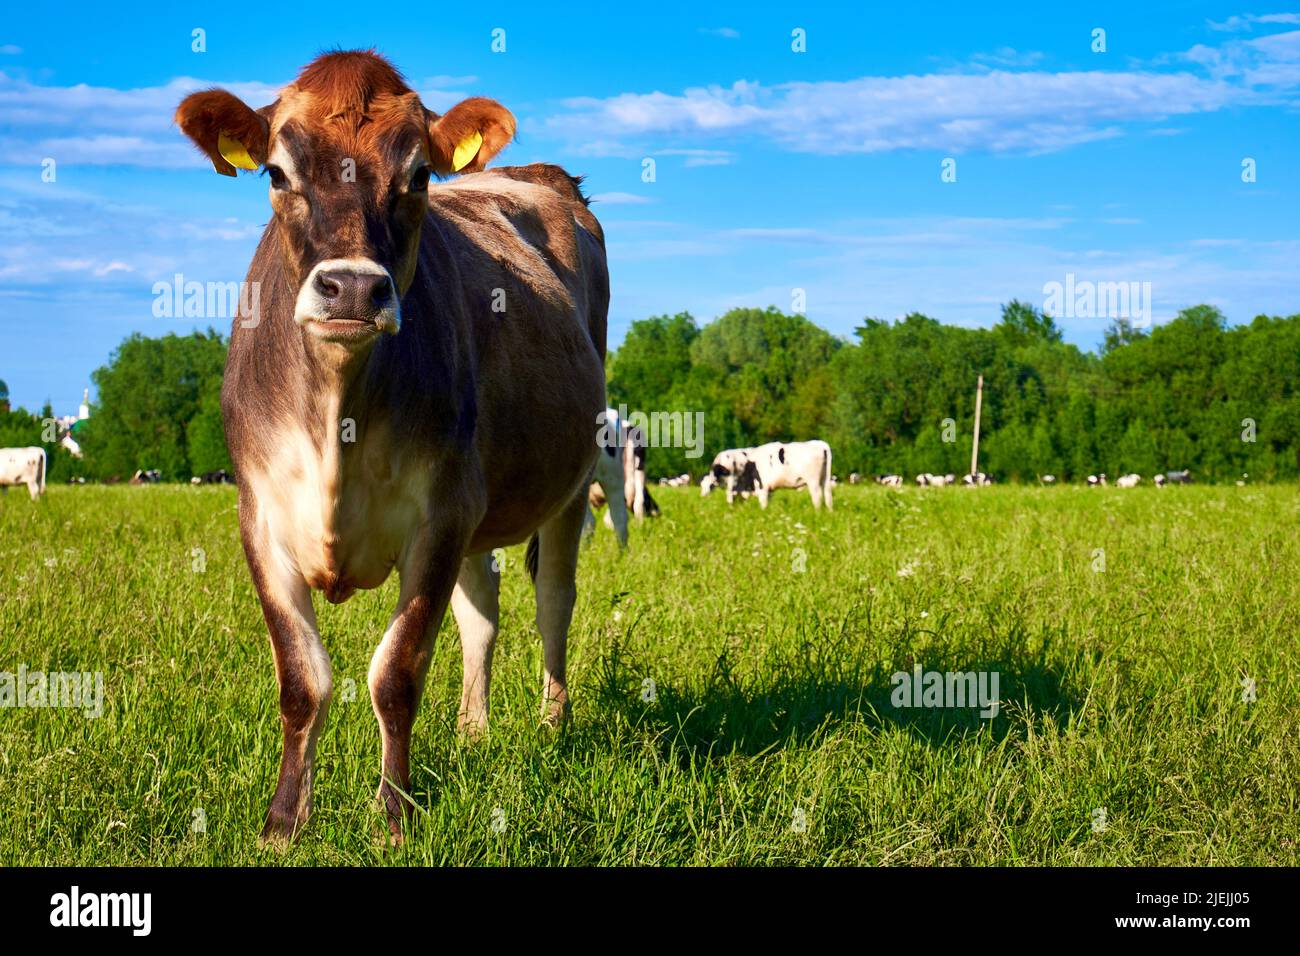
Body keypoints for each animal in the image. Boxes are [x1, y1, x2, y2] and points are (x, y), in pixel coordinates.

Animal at [174, 51, 609, 844]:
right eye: (276, 173)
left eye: (419, 177)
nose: (351, 288)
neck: (337, 422)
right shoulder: (261, 516)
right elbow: (302, 677)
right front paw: (284, 821)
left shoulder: (440, 515)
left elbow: (398, 672)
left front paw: (393, 815)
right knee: (481, 612)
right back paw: (473, 730)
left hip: (574, 476)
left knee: (553, 601)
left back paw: (552, 724)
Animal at [701, 440, 833, 510]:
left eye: (710, 485)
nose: (703, 496)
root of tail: (820, 444)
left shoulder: (762, 487)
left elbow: (763, 504)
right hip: (825, 480)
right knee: (828, 496)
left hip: (813, 481)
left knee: (817, 497)